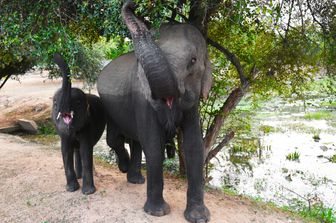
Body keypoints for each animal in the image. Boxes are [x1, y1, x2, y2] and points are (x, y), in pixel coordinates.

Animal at [52, 53, 106, 194]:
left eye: (77, 103)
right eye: (55, 104)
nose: (54, 55)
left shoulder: (88, 124)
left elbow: (86, 150)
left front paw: (88, 192)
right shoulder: (62, 133)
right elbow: (65, 150)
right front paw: (71, 189)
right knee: (76, 149)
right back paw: (78, 176)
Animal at [98, 1, 213, 221]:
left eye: (193, 61)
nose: (132, 5)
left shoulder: (192, 104)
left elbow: (194, 144)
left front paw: (199, 217)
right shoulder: (141, 98)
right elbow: (153, 144)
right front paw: (157, 212)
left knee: (135, 141)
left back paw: (135, 179)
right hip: (108, 106)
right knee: (116, 139)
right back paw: (124, 167)